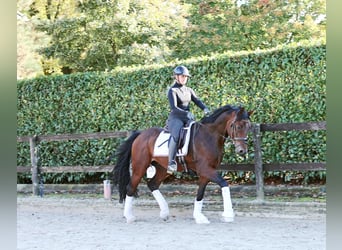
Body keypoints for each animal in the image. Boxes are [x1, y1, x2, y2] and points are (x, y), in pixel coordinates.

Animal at [111, 104, 251, 224]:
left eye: (248, 127)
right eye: (238, 126)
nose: (242, 151)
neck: (209, 136)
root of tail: (140, 134)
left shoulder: (206, 172)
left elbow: (200, 193)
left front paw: (199, 217)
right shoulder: (205, 169)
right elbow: (224, 184)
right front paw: (228, 215)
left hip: (162, 168)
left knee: (153, 184)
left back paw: (164, 213)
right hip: (140, 167)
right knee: (131, 187)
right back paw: (129, 217)